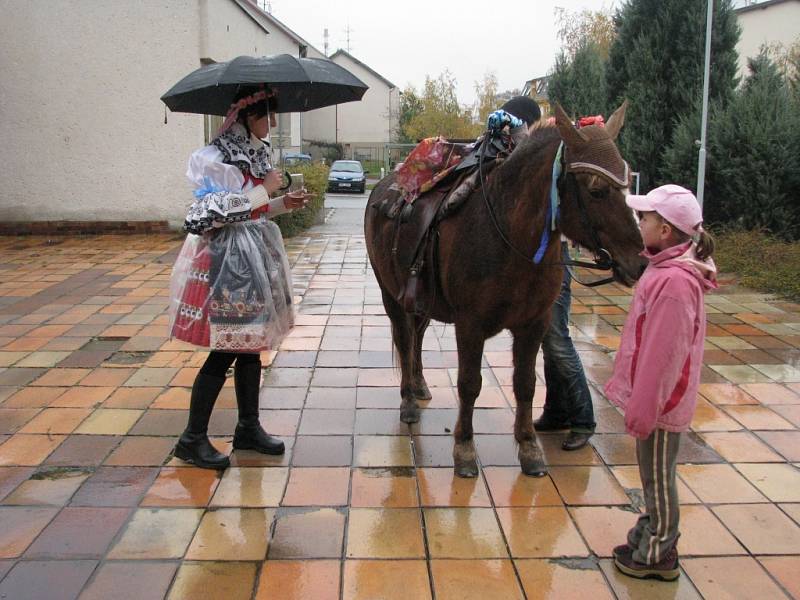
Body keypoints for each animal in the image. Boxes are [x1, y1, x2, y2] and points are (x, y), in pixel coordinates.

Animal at [366, 103, 648, 478]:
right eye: (596, 189)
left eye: (628, 183)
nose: (640, 262)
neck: (510, 235)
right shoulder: (470, 326)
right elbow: (469, 384)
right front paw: (464, 448)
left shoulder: (534, 325)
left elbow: (526, 384)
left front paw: (529, 447)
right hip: (393, 296)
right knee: (404, 339)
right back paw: (409, 400)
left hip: (422, 301)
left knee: (417, 338)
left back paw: (421, 385)